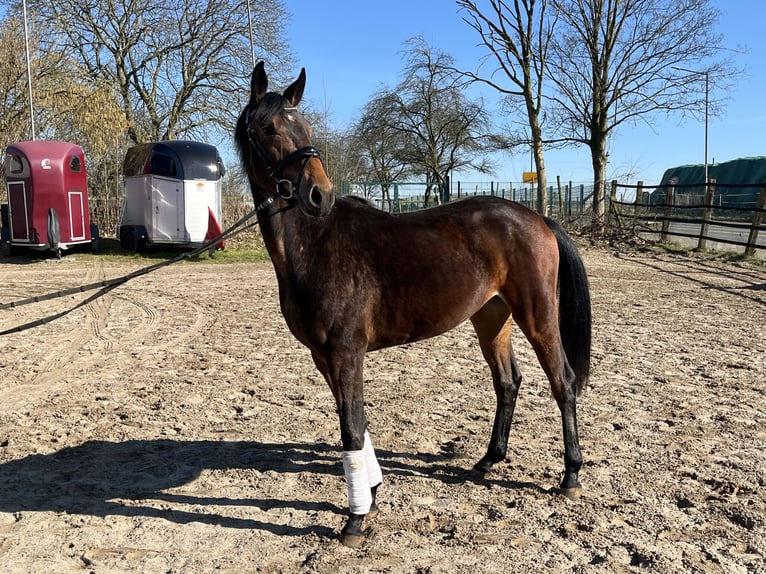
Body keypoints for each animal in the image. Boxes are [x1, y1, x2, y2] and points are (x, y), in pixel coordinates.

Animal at [234, 62, 592, 548]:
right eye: (269, 128)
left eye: (305, 128)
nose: (319, 195)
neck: (316, 245)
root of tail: (538, 218)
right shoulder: (323, 357)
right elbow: (355, 421)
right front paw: (371, 493)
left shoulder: (346, 353)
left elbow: (351, 427)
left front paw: (355, 519)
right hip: (491, 318)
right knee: (508, 382)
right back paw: (488, 460)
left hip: (537, 316)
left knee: (562, 382)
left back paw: (570, 475)